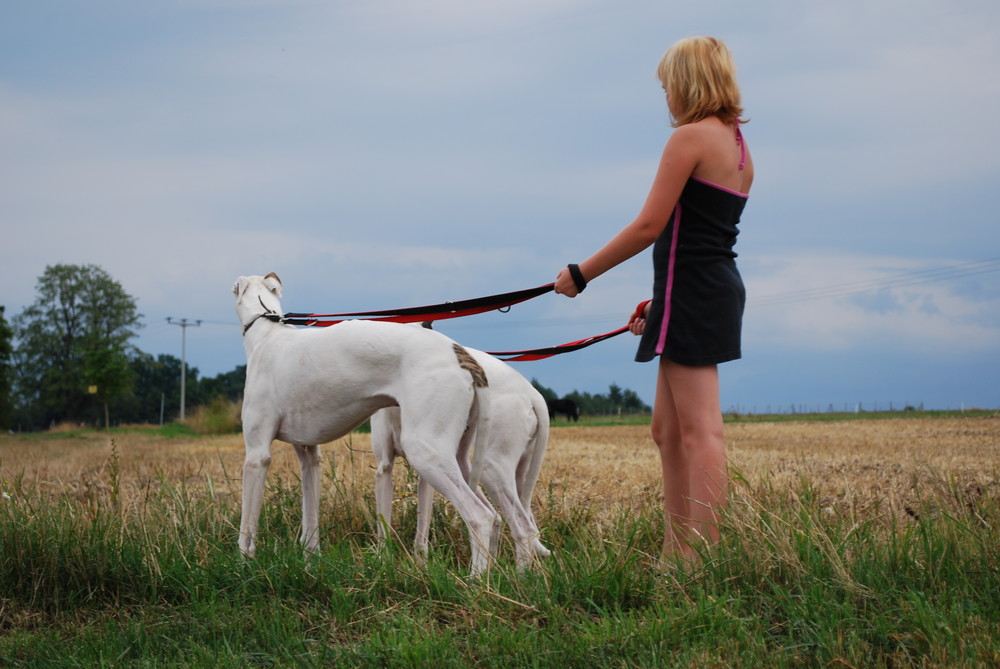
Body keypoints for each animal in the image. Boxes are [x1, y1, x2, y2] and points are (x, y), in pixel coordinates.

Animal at [235, 272, 500, 576]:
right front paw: (311, 567)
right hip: (458, 456)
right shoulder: (310, 455)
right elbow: (310, 524)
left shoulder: (257, 455)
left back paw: (475, 580)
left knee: (479, 516)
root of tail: (463, 356)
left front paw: (243, 568)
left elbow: (247, 527)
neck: (267, 333)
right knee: (494, 516)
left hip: (427, 452)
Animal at [372, 344, 552, 568]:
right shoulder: (413, 471)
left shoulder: (389, 469)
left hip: (488, 468)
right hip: (513, 472)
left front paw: (383, 562)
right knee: (513, 521)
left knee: (517, 526)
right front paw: (420, 567)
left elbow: (385, 525)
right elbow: (419, 530)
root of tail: (531, 393)